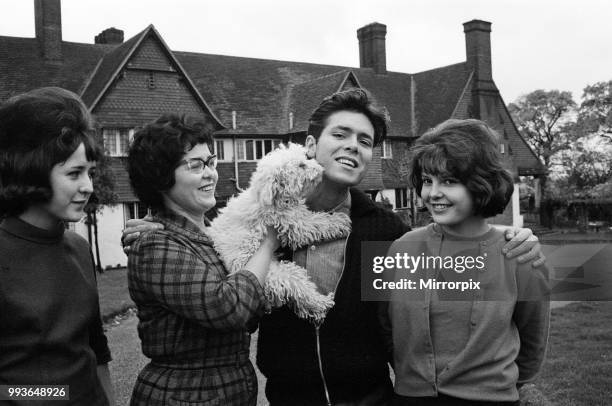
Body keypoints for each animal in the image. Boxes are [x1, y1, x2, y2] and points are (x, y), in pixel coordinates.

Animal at [208, 143, 352, 324]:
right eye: (301, 165)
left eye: (306, 158)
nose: (321, 169)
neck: (273, 196)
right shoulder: (293, 223)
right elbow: (318, 222)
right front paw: (340, 222)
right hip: (274, 276)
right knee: (299, 289)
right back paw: (321, 303)